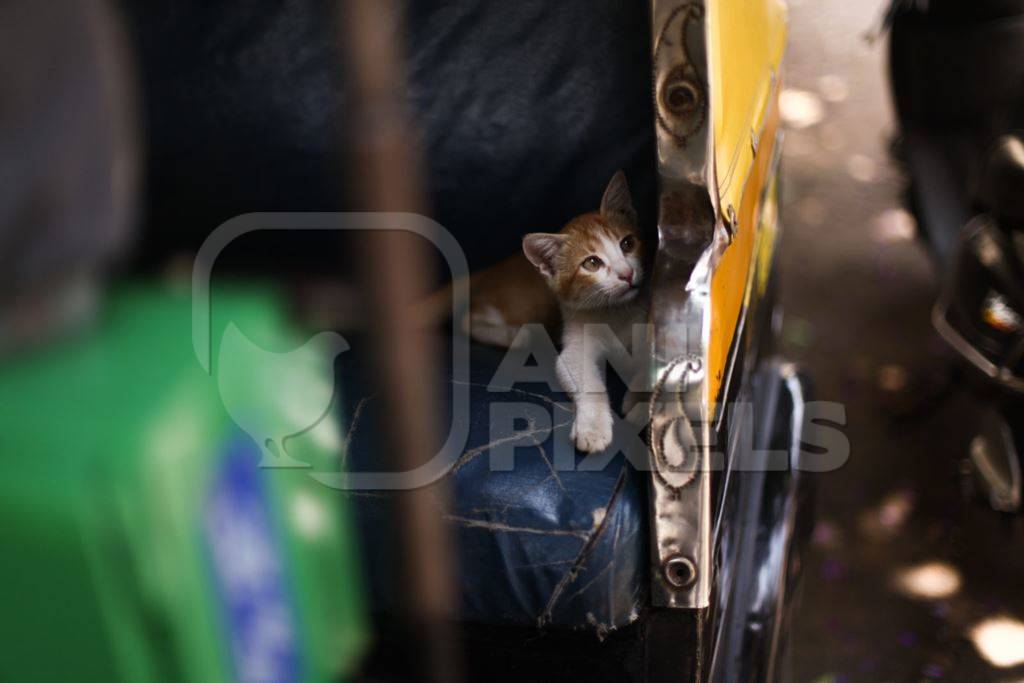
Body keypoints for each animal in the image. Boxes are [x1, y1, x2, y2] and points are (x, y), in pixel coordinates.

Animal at [524, 172, 643, 454]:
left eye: (627, 243)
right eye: (592, 263)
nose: (627, 273)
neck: (614, 313)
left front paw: (636, 402)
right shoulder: (576, 346)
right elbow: (587, 380)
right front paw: (593, 428)